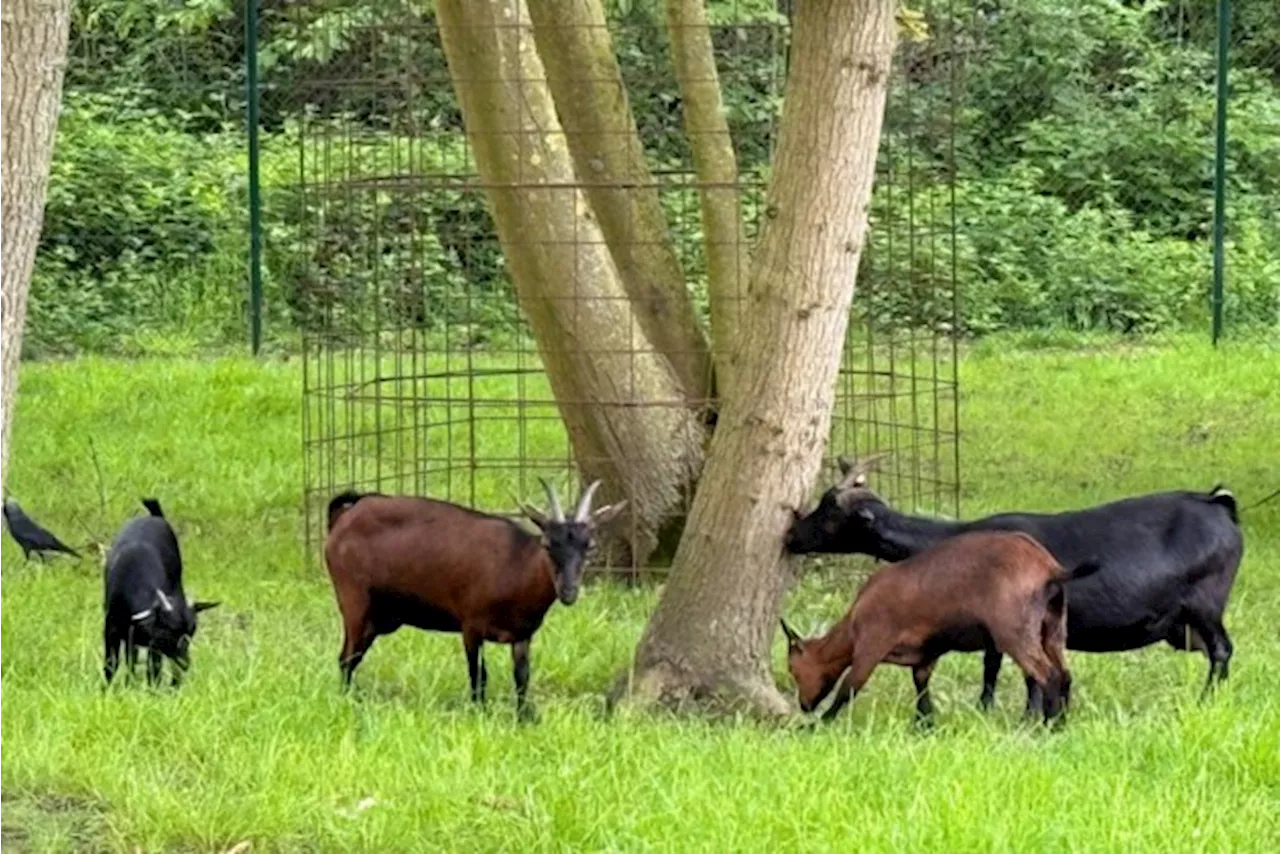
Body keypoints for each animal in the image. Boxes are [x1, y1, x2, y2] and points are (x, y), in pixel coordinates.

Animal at [103, 501, 218, 686]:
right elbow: (111, 664)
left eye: (191, 633)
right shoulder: (111, 628)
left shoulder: (151, 644)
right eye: (168, 632)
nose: (185, 663)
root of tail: (155, 516)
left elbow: (153, 668)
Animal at [325, 478, 624, 717]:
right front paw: (479, 712)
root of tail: (344, 516)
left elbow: (522, 677)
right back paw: (347, 701)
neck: (515, 564)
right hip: (354, 599)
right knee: (345, 657)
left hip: (381, 617)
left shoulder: (522, 635)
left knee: (353, 657)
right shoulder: (470, 625)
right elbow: (478, 674)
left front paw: (524, 718)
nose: (568, 591)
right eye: (548, 544)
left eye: (590, 546)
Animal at [778, 530, 1100, 727]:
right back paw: (1060, 724)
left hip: (1015, 631)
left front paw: (819, 724)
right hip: (1053, 625)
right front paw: (925, 725)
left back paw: (1048, 726)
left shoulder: (872, 643)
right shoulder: (925, 653)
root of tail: (1048, 568)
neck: (854, 619)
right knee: (1064, 674)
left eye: (793, 669)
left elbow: (850, 687)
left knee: (1048, 675)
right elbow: (921, 688)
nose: (804, 705)